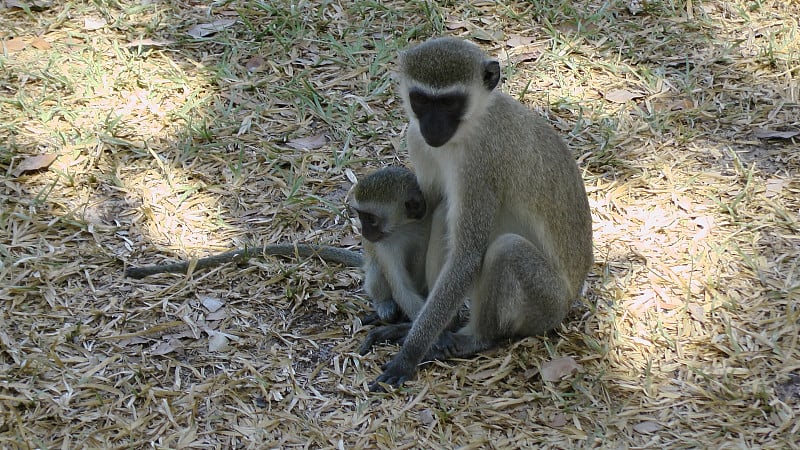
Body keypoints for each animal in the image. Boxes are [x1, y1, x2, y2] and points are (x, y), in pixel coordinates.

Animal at [368, 37, 592, 390]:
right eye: (421, 100)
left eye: (449, 103)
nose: (432, 126)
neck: (471, 124)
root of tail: (570, 303)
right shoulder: (417, 139)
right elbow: (425, 211)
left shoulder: (482, 162)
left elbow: (468, 255)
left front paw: (410, 355)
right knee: (443, 213)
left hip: (547, 304)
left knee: (506, 249)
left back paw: (475, 338)